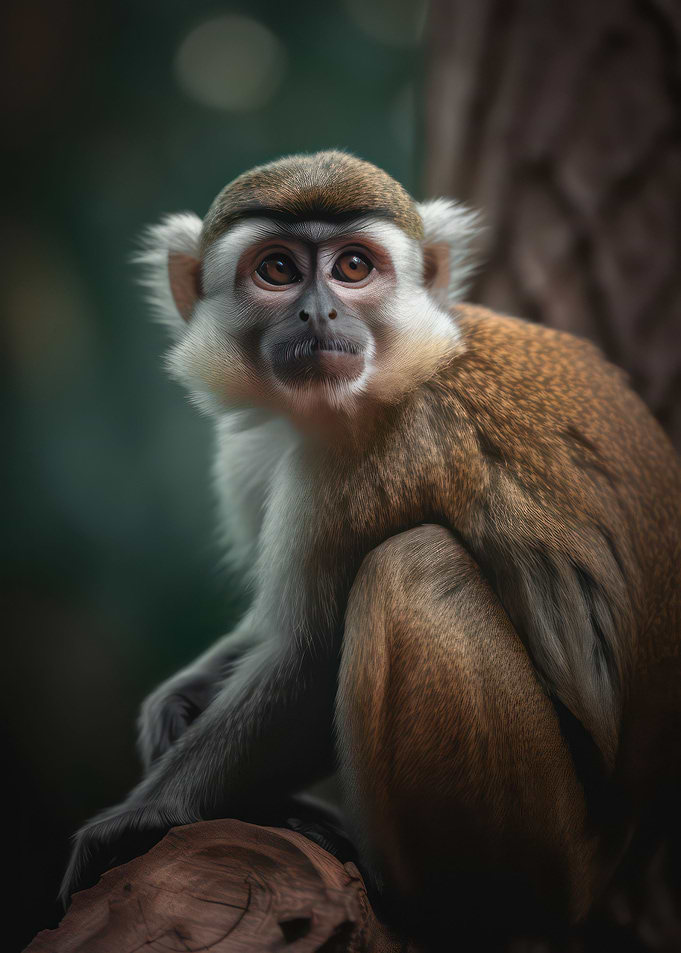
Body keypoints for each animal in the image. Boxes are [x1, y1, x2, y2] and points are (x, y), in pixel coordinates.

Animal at [60, 150, 681, 943]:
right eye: (277, 269)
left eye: (354, 266)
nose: (319, 313)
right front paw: (181, 698)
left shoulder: (372, 454)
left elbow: (308, 659)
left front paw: (141, 819)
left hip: (555, 855)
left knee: (413, 564)